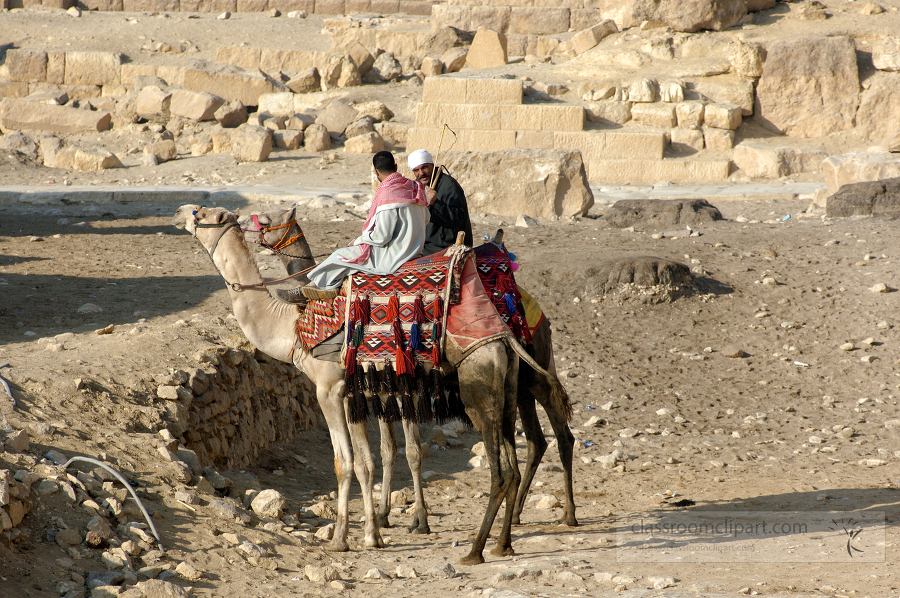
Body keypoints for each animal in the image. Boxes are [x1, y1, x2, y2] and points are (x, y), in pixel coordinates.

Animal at [175, 204, 524, 564]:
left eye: (201, 213)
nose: (180, 212)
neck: (290, 326)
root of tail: (504, 337)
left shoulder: (328, 390)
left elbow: (344, 463)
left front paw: (342, 538)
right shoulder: (351, 395)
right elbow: (367, 461)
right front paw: (373, 532)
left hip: (478, 389)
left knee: (498, 470)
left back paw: (475, 550)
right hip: (506, 388)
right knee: (511, 466)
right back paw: (501, 543)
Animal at [239, 206, 576, 528]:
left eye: (266, 219)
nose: (242, 221)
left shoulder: (392, 388)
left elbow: (410, 450)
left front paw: (417, 519)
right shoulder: (384, 388)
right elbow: (390, 449)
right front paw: (388, 514)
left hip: (530, 371)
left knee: (558, 431)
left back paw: (567, 514)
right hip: (520, 380)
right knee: (536, 438)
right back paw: (519, 514)